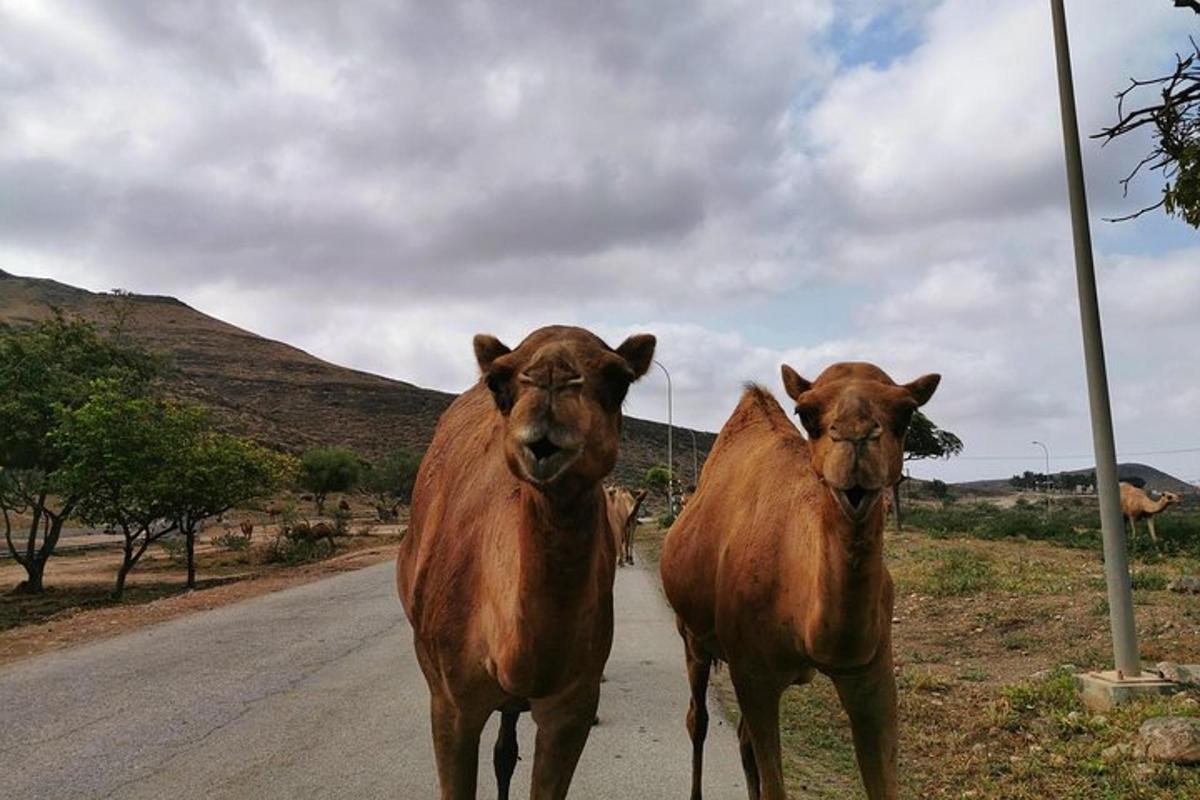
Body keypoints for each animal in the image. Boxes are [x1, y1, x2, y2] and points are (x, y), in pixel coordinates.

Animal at [396, 326, 657, 800]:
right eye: (497, 383)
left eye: (620, 381)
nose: (551, 379)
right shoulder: (450, 703)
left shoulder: (571, 708)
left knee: (505, 748)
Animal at [662, 362, 940, 800]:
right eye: (806, 414)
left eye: (906, 413)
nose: (856, 440)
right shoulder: (753, 673)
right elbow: (773, 781)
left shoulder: (872, 672)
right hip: (691, 636)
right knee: (698, 719)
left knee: (741, 738)